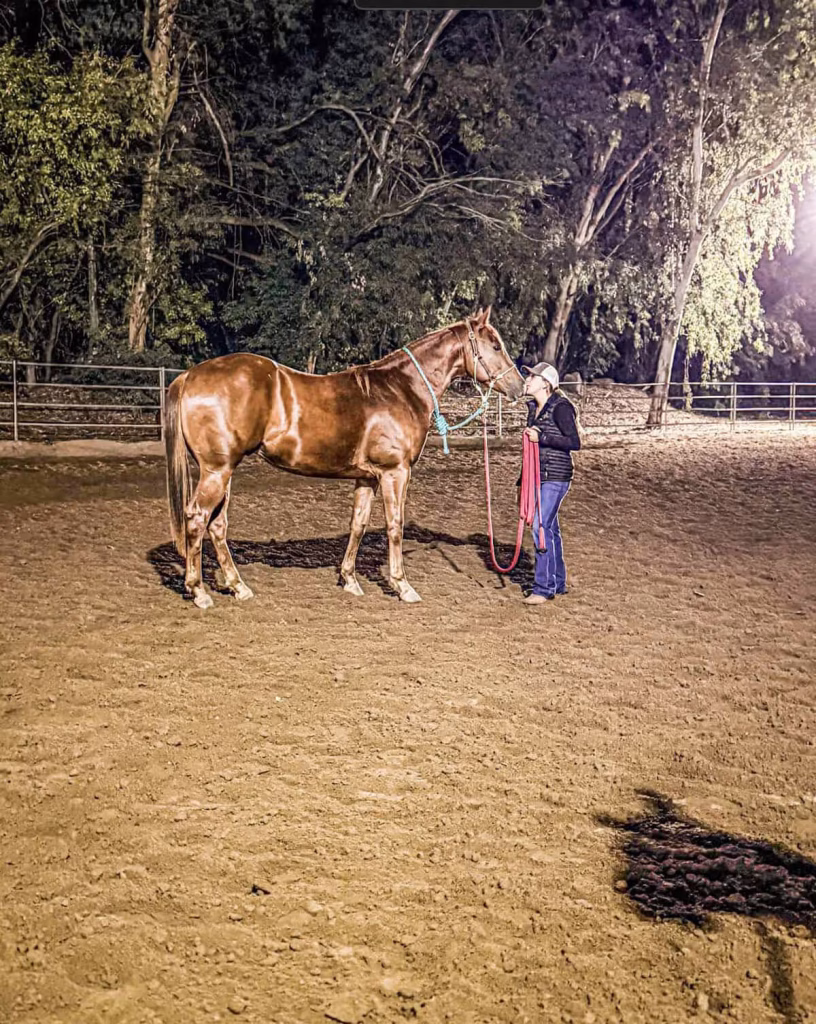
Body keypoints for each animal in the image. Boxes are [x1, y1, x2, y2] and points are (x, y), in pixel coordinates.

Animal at [164, 306, 524, 608]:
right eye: (495, 345)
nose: (519, 387)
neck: (400, 389)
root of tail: (190, 375)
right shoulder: (395, 473)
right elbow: (395, 525)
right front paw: (402, 585)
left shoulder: (367, 478)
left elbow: (358, 525)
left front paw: (349, 579)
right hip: (217, 471)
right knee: (197, 519)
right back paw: (198, 591)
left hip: (223, 472)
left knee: (217, 525)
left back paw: (238, 586)